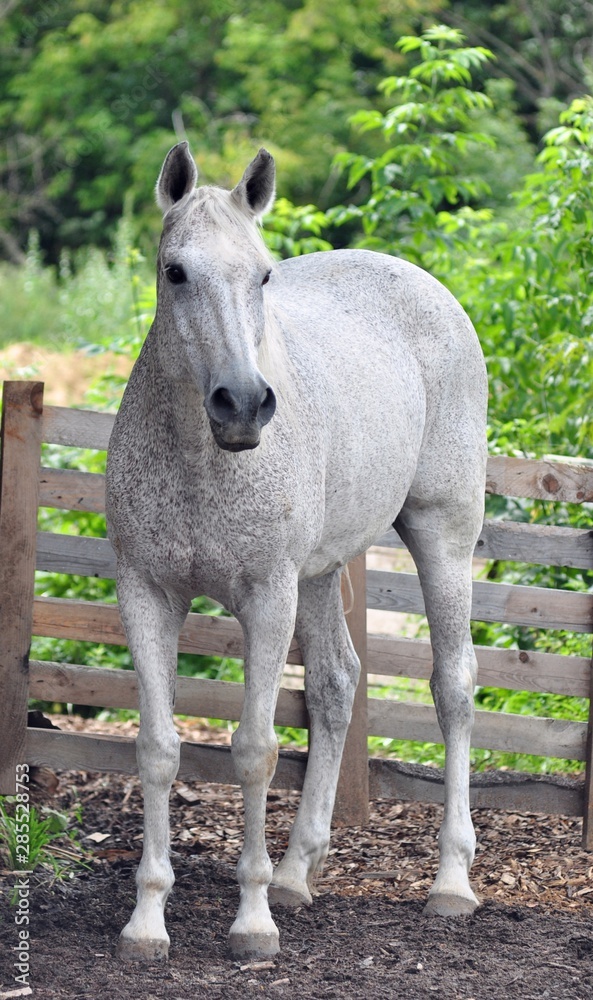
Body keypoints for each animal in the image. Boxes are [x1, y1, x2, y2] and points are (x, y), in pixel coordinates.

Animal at [105, 141, 488, 961]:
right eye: (174, 271)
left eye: (263, 274)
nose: (244, 404)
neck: (202, 461)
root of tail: (422, 284)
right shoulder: (146, 593)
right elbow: (157, 748)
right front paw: (148, 920)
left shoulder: (266, 598)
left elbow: (254, 749)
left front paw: (251, 922)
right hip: (320, 573)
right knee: (337, 684)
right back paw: (295, 871)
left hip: (441, 535)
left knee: (453, 685)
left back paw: (450, 881)